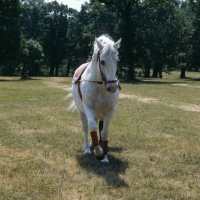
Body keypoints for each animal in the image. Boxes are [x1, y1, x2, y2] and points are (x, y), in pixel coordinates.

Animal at [67, 34, 121, 162]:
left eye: (117, 61)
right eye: (102, 61)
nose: (112, 87)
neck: (100, 85)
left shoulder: (110, 110)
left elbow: (104, 131)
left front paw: (104, 156)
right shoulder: (88, 107)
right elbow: (91, 126)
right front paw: (98, 152)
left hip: (97, 113)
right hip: (81, 112)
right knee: (86, 127)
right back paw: (87, 148)